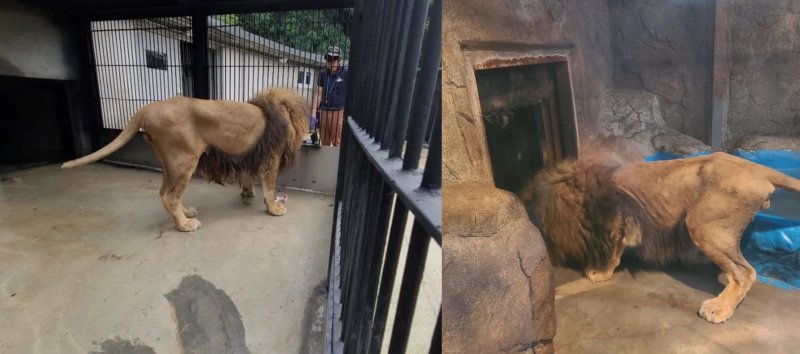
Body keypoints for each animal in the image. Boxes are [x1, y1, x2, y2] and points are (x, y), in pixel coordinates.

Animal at [61, 88, 310, 232]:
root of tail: (148, 107)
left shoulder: (249, 154)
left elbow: (248, 174)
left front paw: (248, 193)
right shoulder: (272, 157)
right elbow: (270, 187)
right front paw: (274, 208)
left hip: (169, 163)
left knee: (165, 192)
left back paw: (187, 212)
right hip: (185, 160)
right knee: (170, 196)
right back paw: (185, 225)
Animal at [520, 138, 800, 324]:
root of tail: (757, 168)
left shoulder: (615, 223)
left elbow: (611, 253)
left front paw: (599, 273)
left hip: (704, 225)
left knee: (744, 272)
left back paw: (718, 308)